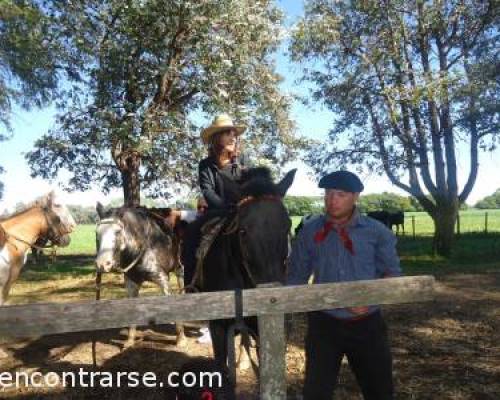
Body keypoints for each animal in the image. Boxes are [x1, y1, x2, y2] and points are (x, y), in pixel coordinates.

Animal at [94, 203, 185, 346]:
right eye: (97, 232)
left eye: (118, 232)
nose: (102, 264)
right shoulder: (131, 282)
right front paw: (130, 340)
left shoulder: (162, 279)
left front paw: (181, 339)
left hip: (179, 268)